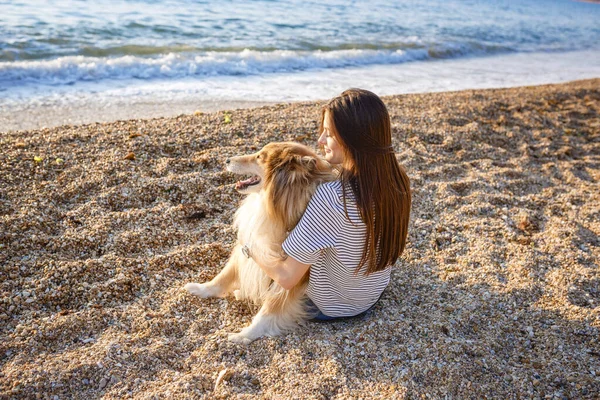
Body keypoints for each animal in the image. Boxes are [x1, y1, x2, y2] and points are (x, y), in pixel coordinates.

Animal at [185, 141, 336, 344]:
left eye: (259, 157)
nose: (227, 159)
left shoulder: (291, 275)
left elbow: (269, 309)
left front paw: (244, 335)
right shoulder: (249, 245)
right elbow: (224, 275)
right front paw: (201, 289)